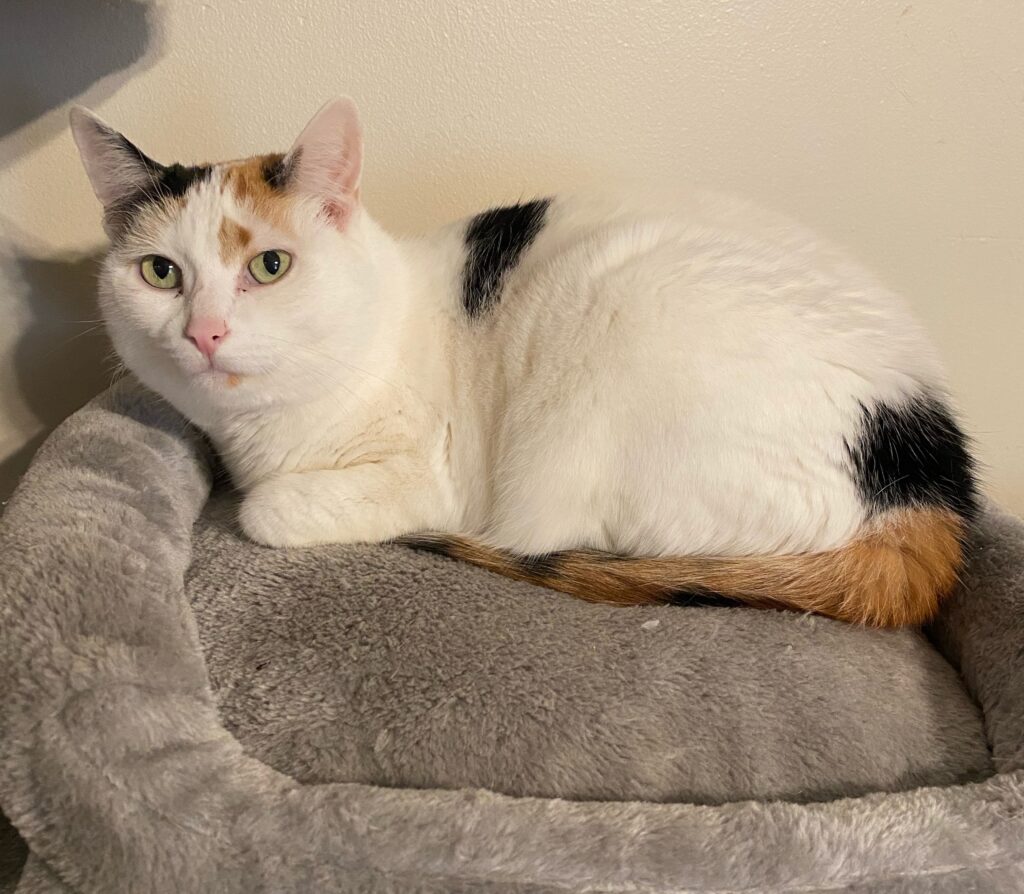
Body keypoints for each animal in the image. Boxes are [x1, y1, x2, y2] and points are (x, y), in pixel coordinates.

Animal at [70, 97, 974, 626]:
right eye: (160, 273)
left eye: (269, 266)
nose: (205, 333)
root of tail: (927, 479)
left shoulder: (423, 476)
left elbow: (264, 510)